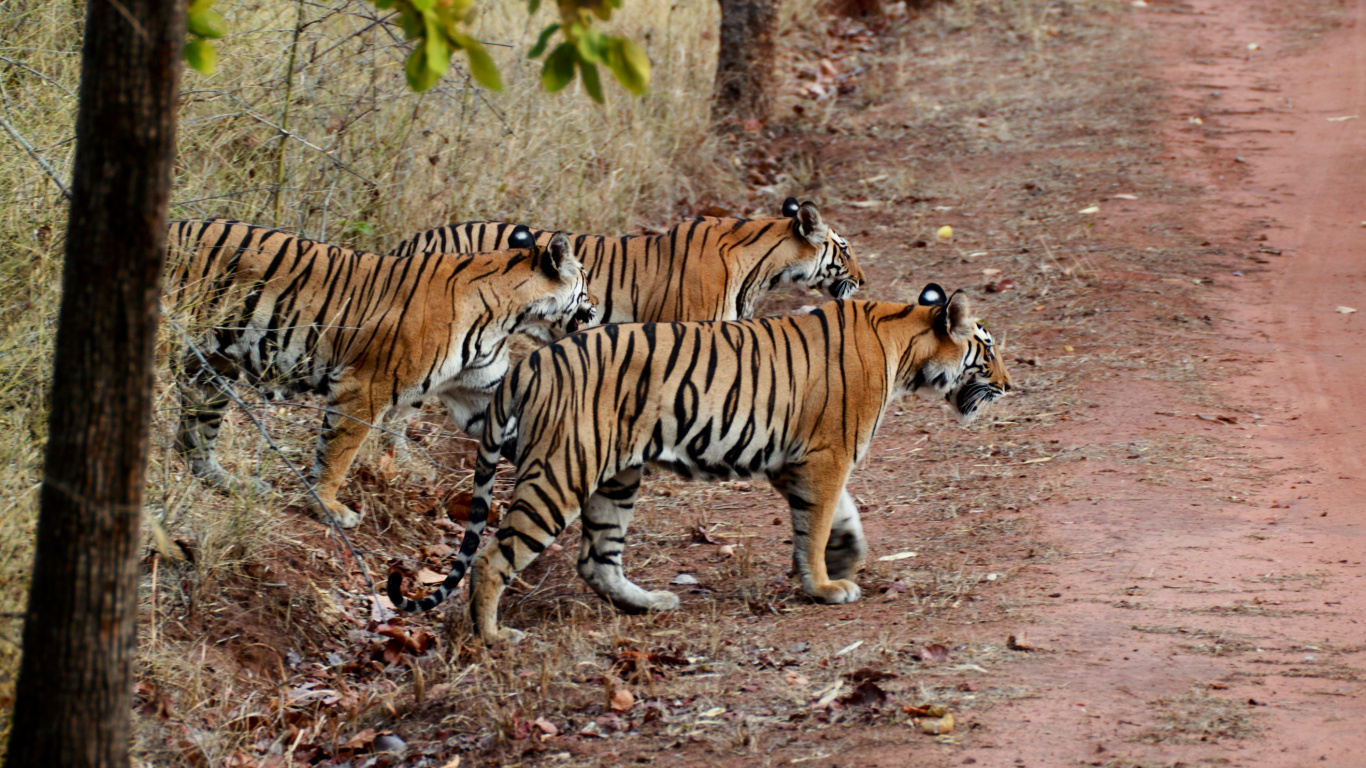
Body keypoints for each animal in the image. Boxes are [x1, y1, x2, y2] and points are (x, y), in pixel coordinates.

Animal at [164, 218, 598, 528]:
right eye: (587, 281)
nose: (596, 309)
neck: (510, 315)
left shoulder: (480, 395)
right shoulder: (364, 388)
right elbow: (338, 454)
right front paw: (329, 508)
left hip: (213, 371)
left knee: (194, 442)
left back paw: (231, 483)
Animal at [388, 284, 1012, 644]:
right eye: (988, 351)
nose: (1010, 386)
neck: (905, 346)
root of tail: (532, 363)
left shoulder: (796, 460)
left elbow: (838, 515)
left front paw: (845, 557)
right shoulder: (827, 455)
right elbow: (817, 523)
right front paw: (824, 586)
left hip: (616, 477)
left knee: (596, 560)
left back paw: (650, 604)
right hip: (562, 474)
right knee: (494, 557)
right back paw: (494, 638)